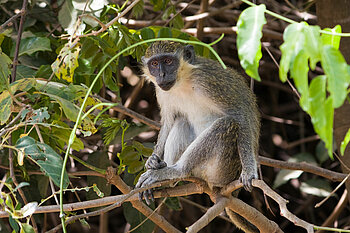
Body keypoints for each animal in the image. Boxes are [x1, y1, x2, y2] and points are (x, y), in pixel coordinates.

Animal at [135, 41, 262, 232]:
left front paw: (249, 171)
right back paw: (165, 176)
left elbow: (240, 115)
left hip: (221, 170)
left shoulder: (209, 81)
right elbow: (168, 121)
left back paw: (176, 171)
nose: (162, 74)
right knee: (181, 120)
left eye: (168, 61)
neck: (183, 80)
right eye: (155, 64)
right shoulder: (161, 91)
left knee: (228, 123)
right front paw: (152, 160)